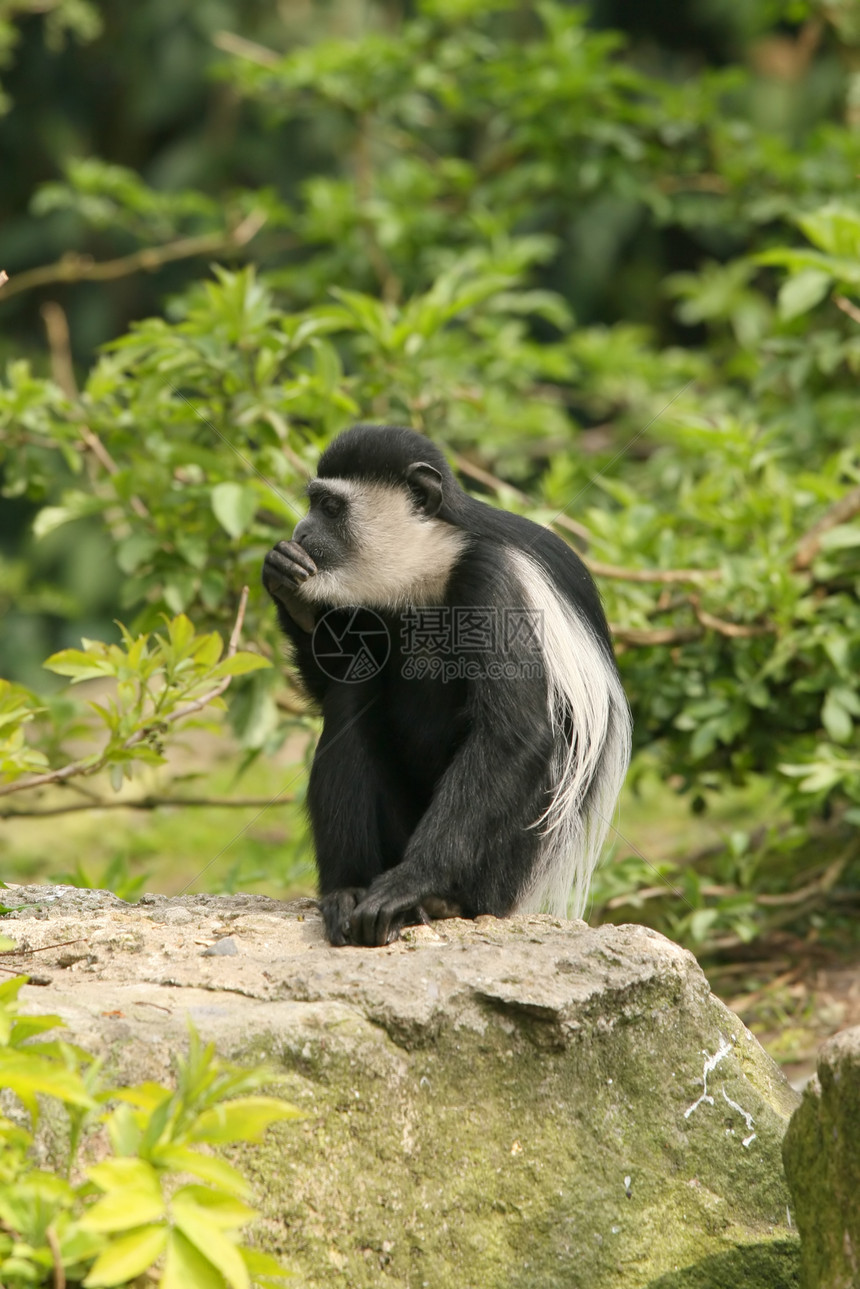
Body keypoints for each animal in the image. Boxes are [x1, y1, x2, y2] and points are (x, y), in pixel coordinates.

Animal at [263, 427, 631, 943]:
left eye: (330, 508)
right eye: (313, 503)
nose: (300, 532)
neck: (431, 562)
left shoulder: (493, 580)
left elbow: (513, 734)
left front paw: (410, 884)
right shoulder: (368, 601)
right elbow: (332, 684)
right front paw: (290, 587)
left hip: (506, 871)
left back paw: (442, 901)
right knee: (351, 698)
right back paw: (347, 892)